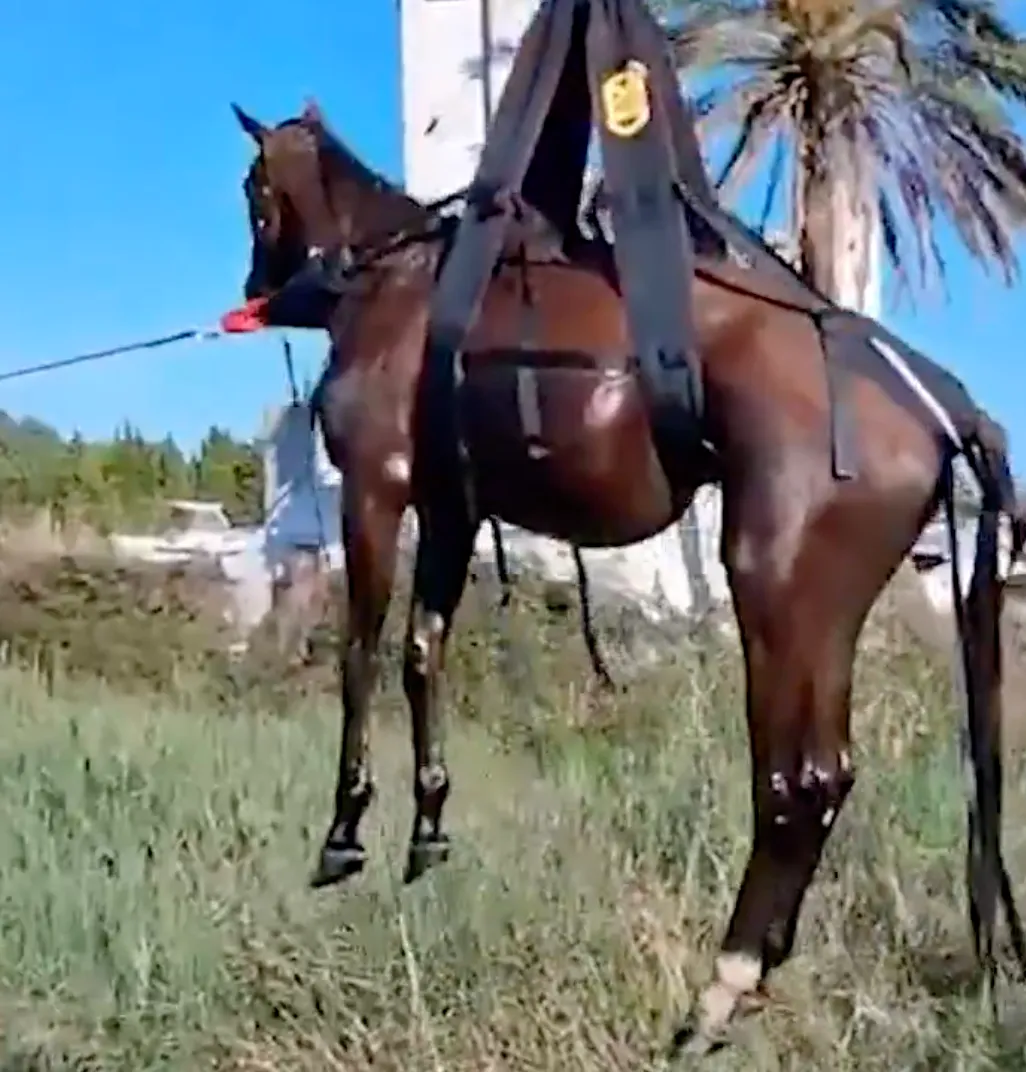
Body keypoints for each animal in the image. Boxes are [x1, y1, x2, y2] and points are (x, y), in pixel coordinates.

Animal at [228, 99, 1026, 1054]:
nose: (259, 285)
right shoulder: (454, 511)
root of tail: (938, 402)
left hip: (777, 587)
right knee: (828, 777)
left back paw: (721, 989)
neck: (400, 282)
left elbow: (361, 655)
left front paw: (345, 831)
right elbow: (424, 656)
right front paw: (427, 824)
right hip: (827, 610)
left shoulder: (376, 490)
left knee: (794, 783)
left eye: (252, 188)